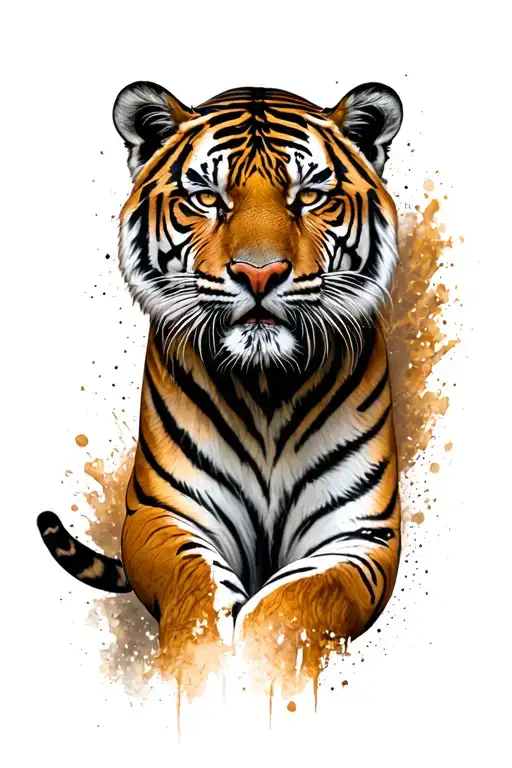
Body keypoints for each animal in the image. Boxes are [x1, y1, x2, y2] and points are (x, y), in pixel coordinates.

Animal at [38, 80, 403, 690]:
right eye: (209, 198)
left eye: (309, 195)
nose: (259, 273)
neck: (266, 386)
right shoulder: (163, 515)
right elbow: (197, 590)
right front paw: (201, 666)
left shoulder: (360, 534)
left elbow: (293, 601)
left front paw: (263, 666)